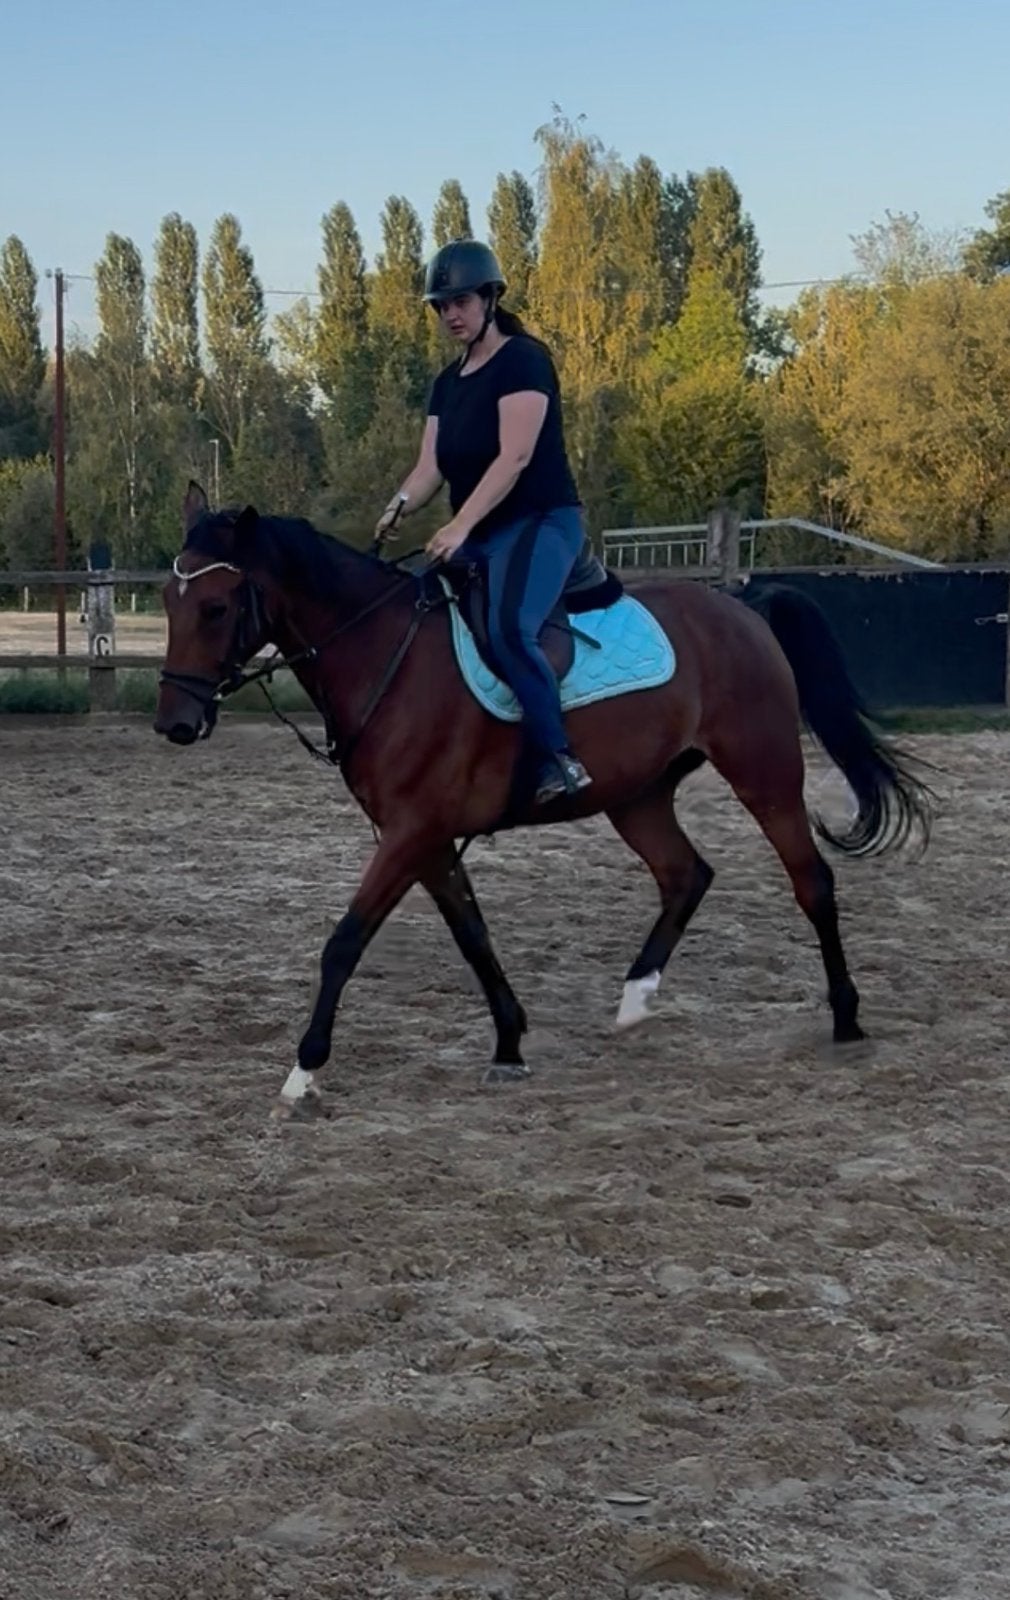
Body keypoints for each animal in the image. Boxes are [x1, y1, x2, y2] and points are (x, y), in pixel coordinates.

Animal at [154, 481, 931, 1118]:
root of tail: (741, 606)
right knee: (686, 874)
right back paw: (635, 998)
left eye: (217, 606)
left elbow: (344, 942)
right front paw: (509, 1042)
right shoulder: (425, 840)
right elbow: (473, 936)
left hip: (763, 774)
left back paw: (846, 1021)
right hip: (638, 794)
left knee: (812, 882)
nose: (175, 722)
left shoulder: (410, 833)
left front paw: (304, 1071)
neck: (385, 655)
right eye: (168, 602)